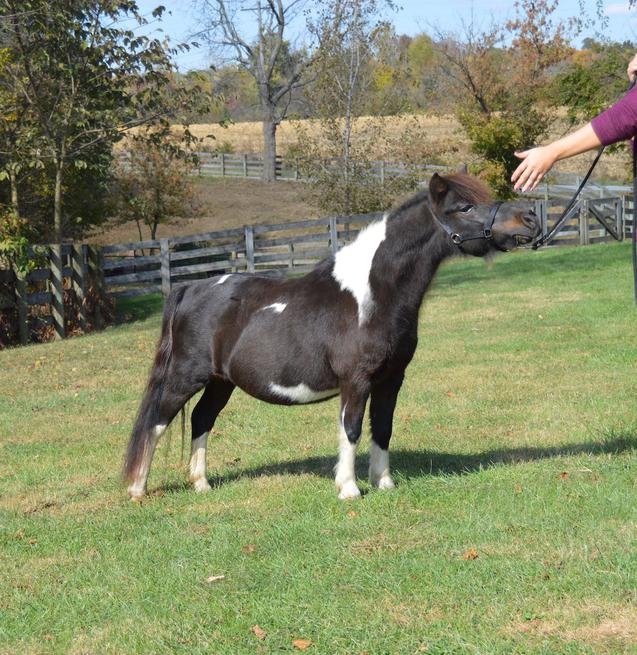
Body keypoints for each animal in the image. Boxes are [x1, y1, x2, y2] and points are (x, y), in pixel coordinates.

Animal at [123, 172, 541, 501]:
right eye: (464, 207)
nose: (530, 218)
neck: (372, 295)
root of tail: (190, 288)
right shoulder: (356, 380)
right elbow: (351, 428)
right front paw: (349, 488)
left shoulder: (391, 379)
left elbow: (382, 428)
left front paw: (384, 483)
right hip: (185, 376)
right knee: (157, 422)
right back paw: (138, 489)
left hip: (220, 381)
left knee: (201, 419)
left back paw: (201, 484)